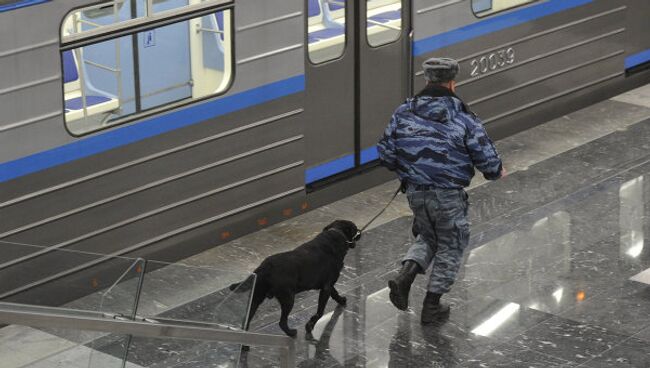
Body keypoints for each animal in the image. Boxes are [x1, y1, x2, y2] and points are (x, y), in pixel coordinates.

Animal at [229, 220, 360, 338]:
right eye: (355, 229)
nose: (360, 232)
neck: (336, 234)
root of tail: (264, 267)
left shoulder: (328, 285)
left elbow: (335, 293)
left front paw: (341, 300)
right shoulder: (326, 288)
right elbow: (320, 311)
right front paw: (310, 325)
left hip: (256, 298)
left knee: (246, 322)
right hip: (288, 299)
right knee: (282, 322)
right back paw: (291, 333)